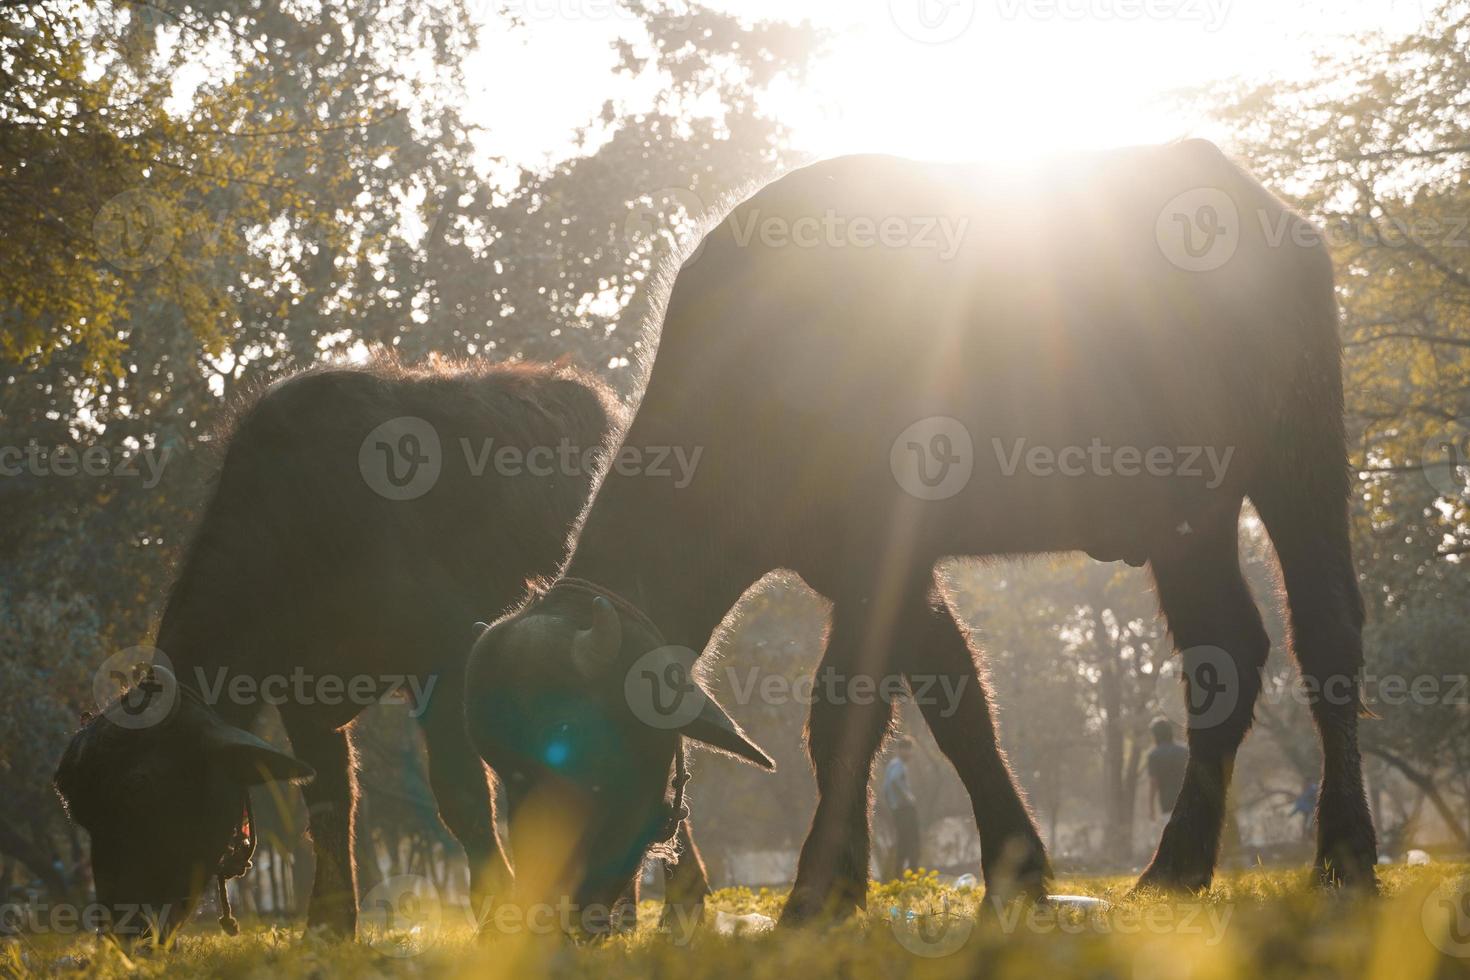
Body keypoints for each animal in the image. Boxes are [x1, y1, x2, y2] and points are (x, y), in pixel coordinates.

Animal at [467, 139, 1375, 928]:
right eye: (507, 773)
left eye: (580, 757)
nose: (561, 911)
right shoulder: (858, 568)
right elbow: (954, 701)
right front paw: (1016, 872)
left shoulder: (885, 555)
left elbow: (843, 713)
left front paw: (817, 894)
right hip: (1190, 515)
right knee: (1223, 653)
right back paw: (1175, 869)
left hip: (1300, 452)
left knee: (1326, 629)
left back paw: (1346, 855)